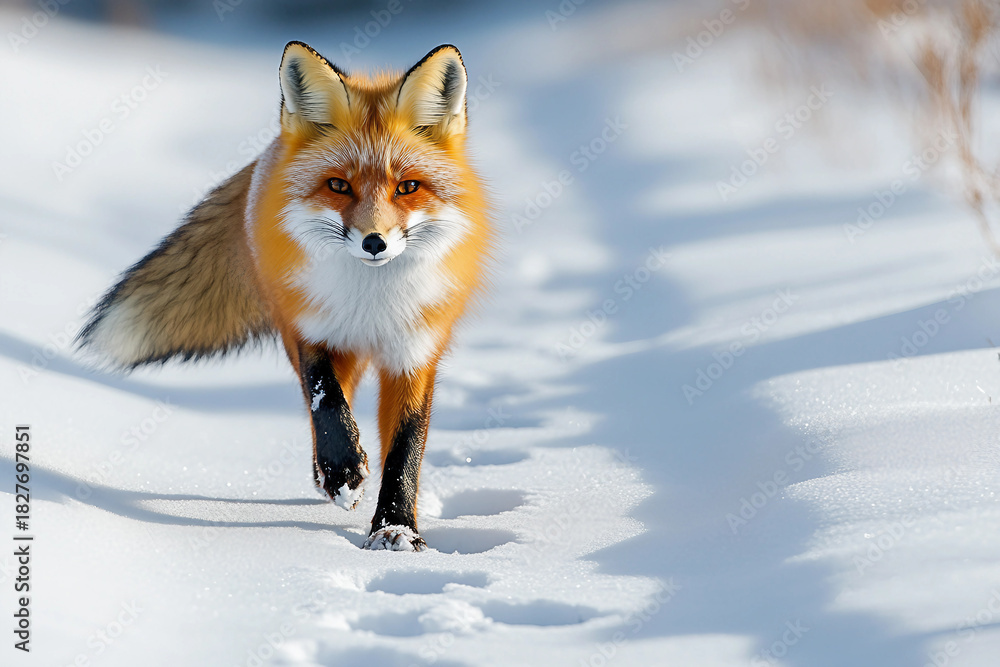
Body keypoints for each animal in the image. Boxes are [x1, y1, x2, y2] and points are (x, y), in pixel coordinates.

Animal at [77, 42, 494, 552]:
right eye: (339, 185)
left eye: (408, 187)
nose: (374, 242)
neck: (371, 303)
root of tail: (270, 152)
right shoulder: (310, 328)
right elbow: (325, 401)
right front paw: (343, 471)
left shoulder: (415, 351)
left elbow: (405, 448)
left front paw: (396, 527)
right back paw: (329, 474)